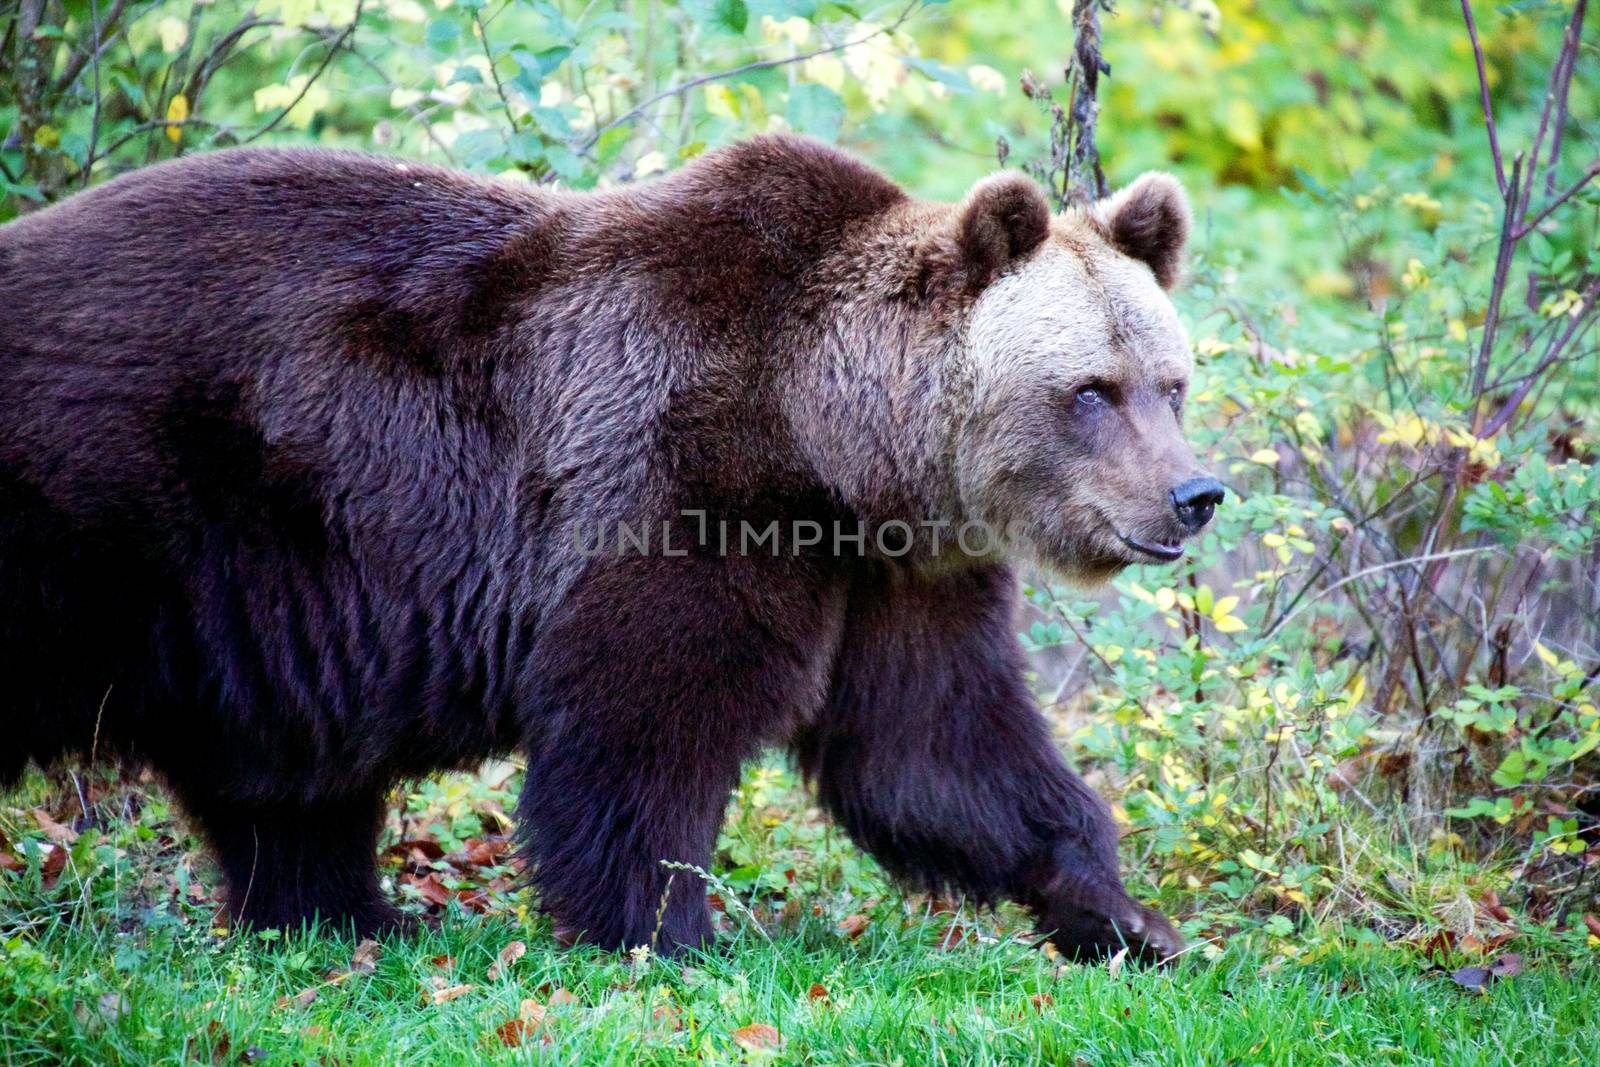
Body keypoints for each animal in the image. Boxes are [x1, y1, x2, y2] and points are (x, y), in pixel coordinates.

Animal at [0, 131, 1216, 959]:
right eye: (1089, 391)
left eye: (1170, 382)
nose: (1194, 494)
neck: (832, 436)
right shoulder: (677, 476)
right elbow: (643, 718)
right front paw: (667, 928)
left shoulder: (893, 570)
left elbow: (937, 746)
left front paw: (1125, 915)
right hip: (122, 505)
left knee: (288, 780)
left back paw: (347, 917)